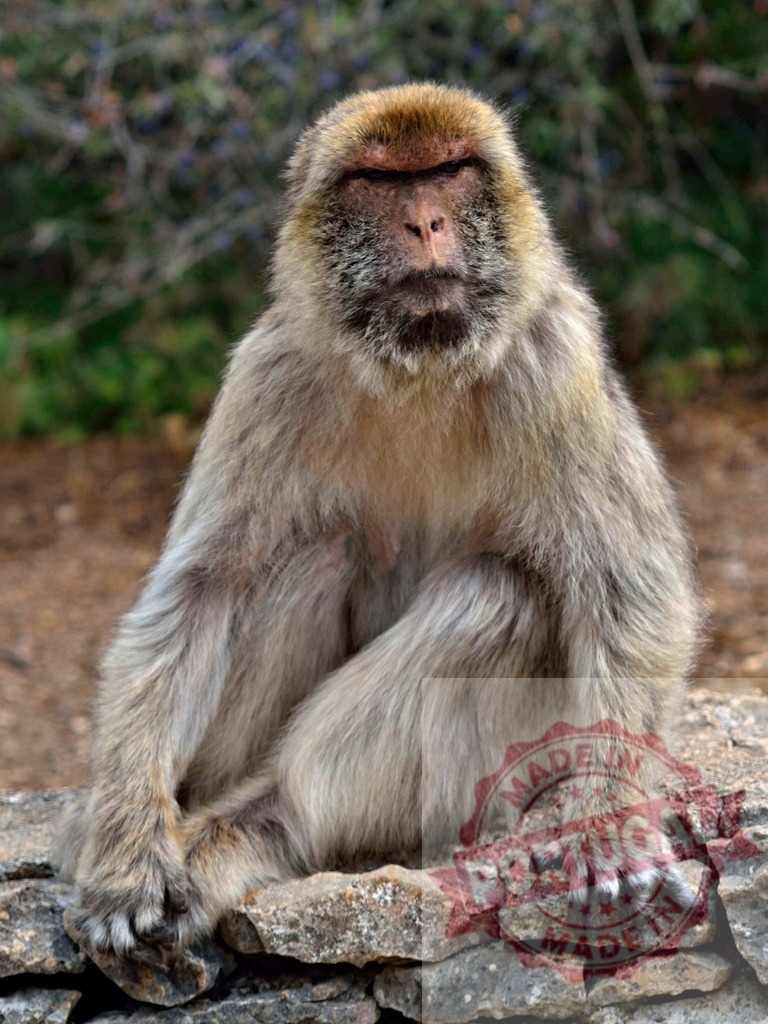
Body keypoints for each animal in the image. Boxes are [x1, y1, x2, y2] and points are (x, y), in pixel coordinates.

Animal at [58, 82, 701, 960]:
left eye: (448, 171)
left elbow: (629, 596)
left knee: (496, 597)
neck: (419, 368)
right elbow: (197, 594)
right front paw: (126, 842)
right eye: (380, 180)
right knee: (307, 557)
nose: (425, 223)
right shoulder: (267, 375)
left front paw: (605, 823)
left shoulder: (555, 362)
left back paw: (276, 819)